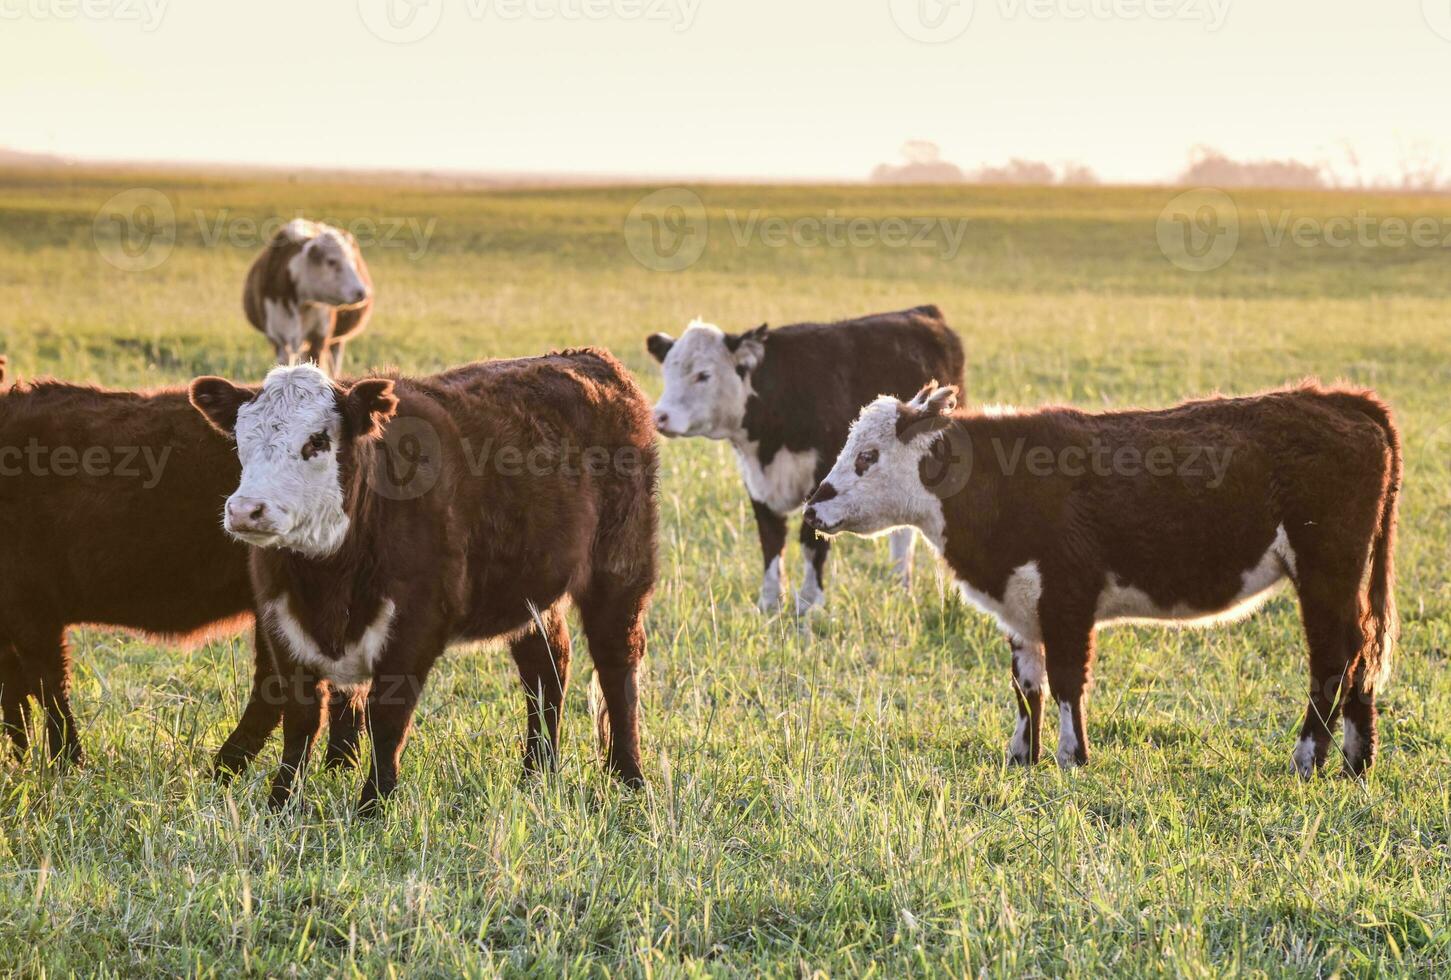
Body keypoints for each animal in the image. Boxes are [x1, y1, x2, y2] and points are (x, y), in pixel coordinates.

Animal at [188, 351, 658, 813]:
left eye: (317, 441)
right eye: (240, 441)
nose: (246, 511)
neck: (328, 580)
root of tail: (592, 360)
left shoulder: (415, 624)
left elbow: (386, 718)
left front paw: (373, 806)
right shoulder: (281, 622)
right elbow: (301, 719)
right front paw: (280, 804)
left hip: (621, 570)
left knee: (617, 666)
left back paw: (629, 776)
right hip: (531, 593)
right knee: (546, 669)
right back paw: (535, 774)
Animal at [242, 220, 374, 377]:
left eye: (353, 260)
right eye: (331, 261)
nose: (362, 292)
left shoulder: (319, 336)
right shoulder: (277, 338)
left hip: (337, 339)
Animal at [647, 303, 963, 618]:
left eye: (703, 375)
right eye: (667, 371)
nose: (660, 416)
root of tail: (922, 312)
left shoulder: (822, 481)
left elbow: (811, 542)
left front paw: (810, 602)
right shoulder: (758, 485)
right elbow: (771, 541)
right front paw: (770, 601)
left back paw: (901, 583)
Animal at [812, 380, 1398, 778]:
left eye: (867, 456)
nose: (813, 508)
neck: (1002, 482)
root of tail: (1337, 399)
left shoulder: (1067, 597)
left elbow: (1068, 679)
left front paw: (1073, 757)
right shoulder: (1020, 606)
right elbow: (1028, 686)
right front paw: (1023, 756)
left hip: (1325, 571)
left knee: (1333, 659)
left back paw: (1307, 759)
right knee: (1362, 650)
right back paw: (1356, 762)